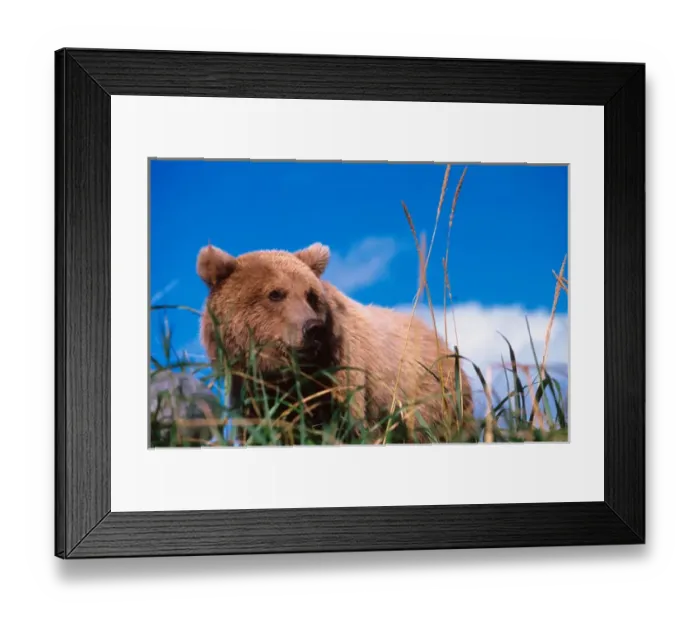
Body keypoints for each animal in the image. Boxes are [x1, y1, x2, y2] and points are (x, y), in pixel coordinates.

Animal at [196, 242, 476, 444]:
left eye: (310, 295)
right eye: (275, 293)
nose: (313, 328)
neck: (283, 376)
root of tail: (439, 339)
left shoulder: (342, 377)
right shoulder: (252, 391)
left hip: (430, 396)